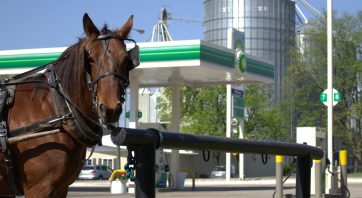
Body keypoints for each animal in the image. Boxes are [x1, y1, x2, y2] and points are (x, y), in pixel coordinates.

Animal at [0, 13, 137, 197]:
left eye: (127, 60)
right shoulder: (39, 188)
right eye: (90, 60)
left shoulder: (61, 188)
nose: (110, 109)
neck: (58, 109)